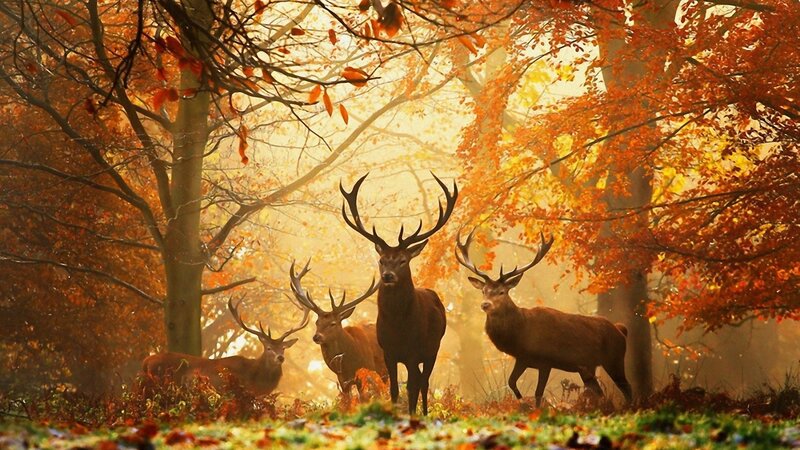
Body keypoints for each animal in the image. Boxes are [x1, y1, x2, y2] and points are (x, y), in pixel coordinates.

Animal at [340, 172, 457, 415]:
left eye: (403, 260)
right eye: (382, 260)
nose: (388, 276)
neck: (398, 326)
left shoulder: (413, 351)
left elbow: (411, 387)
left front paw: (412, 415)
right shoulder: (388, 352)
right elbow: (394, 388)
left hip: (433, 348)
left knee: (424, 382)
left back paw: (424, 413)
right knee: (420, 380)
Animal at [455, 231, 632, 407]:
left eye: (502, 292)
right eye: (483, 290)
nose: (485, 304)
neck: (521, 334)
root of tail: (620, 330)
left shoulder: (546, 361)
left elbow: (538, 393)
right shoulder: (523, 358)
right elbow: (511, 382)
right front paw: (521, 402)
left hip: (614, 358)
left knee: (627, 388)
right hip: (587, 368)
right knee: (600, 392)